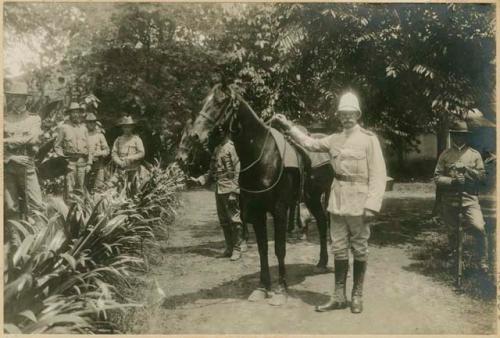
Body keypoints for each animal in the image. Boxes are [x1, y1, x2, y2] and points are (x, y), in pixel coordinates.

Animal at [176, 84, 332, 304]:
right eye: (204, 101)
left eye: (219, 102)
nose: (196, 135)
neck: (263, 156)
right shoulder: (257, 211)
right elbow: (262, 249)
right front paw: (262, 287)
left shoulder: (280, 210)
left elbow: (279, 248)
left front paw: (280, 289)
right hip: (311, 198)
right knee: (321, 221)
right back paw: (321, 262)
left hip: (317, 196)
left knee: (323, 221)